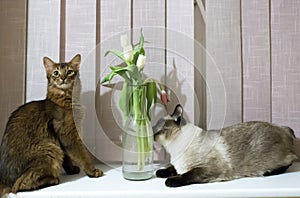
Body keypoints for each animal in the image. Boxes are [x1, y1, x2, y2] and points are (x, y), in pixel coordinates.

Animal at [0, 54, 102, 196]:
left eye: (69, 71)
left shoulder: (63, 139)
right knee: (20, 185)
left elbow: (67, 157)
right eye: (56, 73)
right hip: (50, 149)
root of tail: (5, 180)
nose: (63, 78)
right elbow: (81, 154)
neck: (66, 99)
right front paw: (92, 171)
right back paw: (52, 179)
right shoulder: (69, 134)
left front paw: (71, 170)